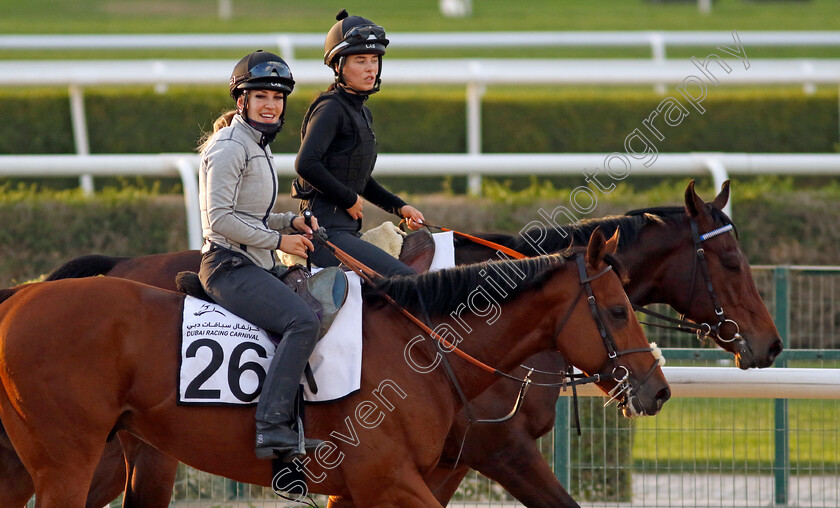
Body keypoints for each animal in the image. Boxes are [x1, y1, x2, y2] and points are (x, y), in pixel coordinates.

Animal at [0, 179, 776, 508]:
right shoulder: (479, 455)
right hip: (90, 456)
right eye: (732, 260)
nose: (767, 346)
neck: (433, 343)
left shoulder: (425, 469)